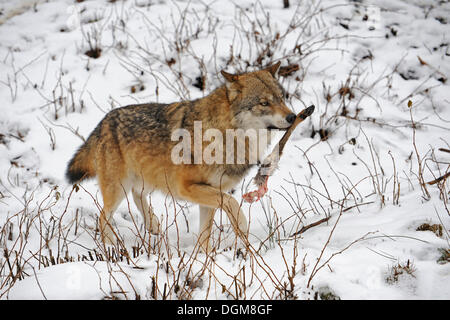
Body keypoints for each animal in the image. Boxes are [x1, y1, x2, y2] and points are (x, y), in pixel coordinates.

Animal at [66, 61, 296, 254]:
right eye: (264, 103)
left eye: (282, 98)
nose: (293, 117)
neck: (224, 134)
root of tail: (103, 122)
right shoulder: (187, 188)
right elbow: (232, 202)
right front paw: (241, 225)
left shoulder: (211, 193)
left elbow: (205, 234)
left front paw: (207, 258)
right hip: (119, 188)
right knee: (103, 216)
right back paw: (112, 248)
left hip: (146, 179)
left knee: (137, 194)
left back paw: (152, 225)